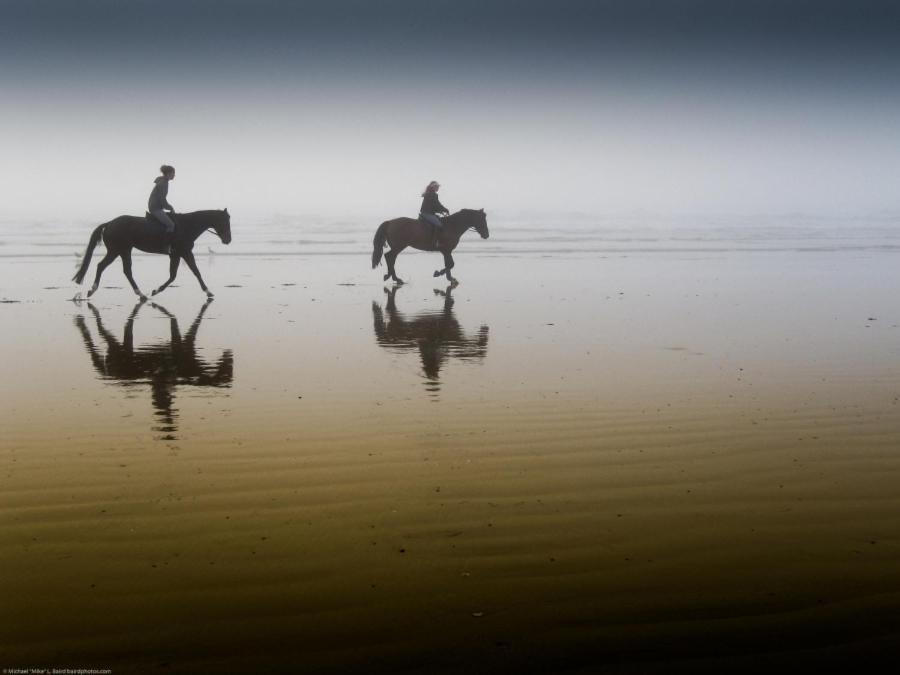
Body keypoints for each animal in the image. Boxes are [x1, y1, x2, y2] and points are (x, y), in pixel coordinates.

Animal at [72, 209, 232, 298]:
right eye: (225, 221)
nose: (228, 240)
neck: (187, 225)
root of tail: (109, 223)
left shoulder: (176, 254)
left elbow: (174, 275)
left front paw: (156, 290)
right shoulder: (184, 252)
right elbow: (195, 272)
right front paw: (208, 292)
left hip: (123, 250)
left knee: (125, 270)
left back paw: (141, 294)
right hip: (117, 250)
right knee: (103, 266)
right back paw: (93, 290)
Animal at [74, 300, 234, 438]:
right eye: (228, 371)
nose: (229, 355)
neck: (190, 368)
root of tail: (112, 373)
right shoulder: (182, 342)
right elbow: (189, 324)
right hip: (120, 347)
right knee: (103, 332)